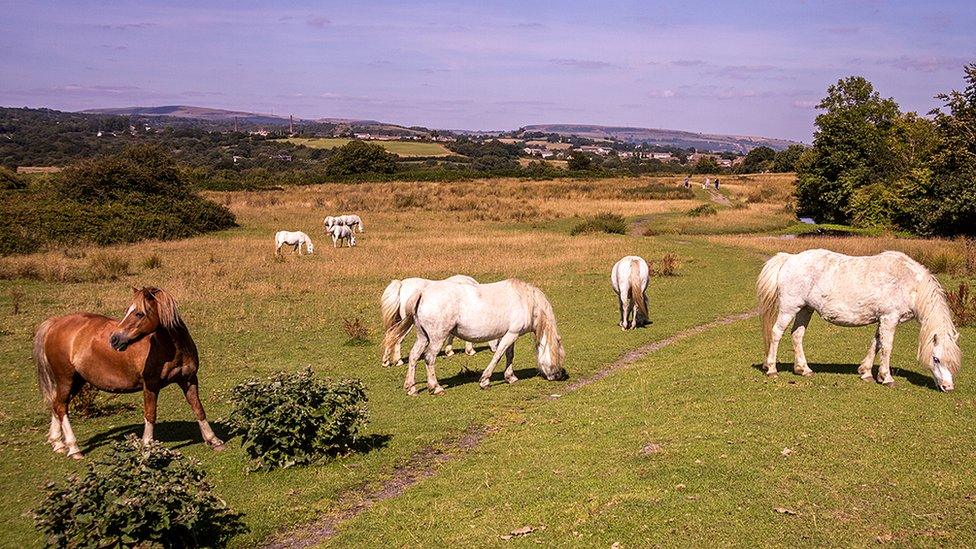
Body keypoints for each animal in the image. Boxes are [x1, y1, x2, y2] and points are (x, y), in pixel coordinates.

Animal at [31, 284, 224, 456]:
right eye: (128, 311)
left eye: (139, 313)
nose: (114, 339)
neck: (172, 350)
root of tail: (55, 323)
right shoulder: (151, 385)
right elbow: (150, 414)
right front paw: (147, 446)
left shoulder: (189, 380)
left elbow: (198, 409)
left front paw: (213, 440)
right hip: (66, 378)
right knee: (61, 407)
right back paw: (73, 449)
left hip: (76, 380)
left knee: (57, 405)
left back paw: (58, 444)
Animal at [386, 278, 568, 394]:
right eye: (558, 355)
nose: (558, 375)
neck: (525, 299)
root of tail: (422, 293)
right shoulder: (511, 335)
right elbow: (498, 355)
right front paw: (485, 381)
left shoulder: (511, 335)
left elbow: (509, 355)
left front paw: (510, 377)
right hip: (437, 339)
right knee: (429, 358)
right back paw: (435, 387)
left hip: (423, 337)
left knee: (414, 356)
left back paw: (411, 388)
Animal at [756, 248, 960, 390]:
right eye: (936, 359)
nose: (948, 387)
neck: (908, 282)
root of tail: (790, 258)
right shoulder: (889, 318)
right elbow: (886, 347)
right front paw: (887, 378)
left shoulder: (881, 320)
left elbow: (876, 344)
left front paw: (867, 373)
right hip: (789, 308)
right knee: (776, 333)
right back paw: (772, 369)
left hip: (805, 310)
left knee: (797, 335)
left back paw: (803, 369)